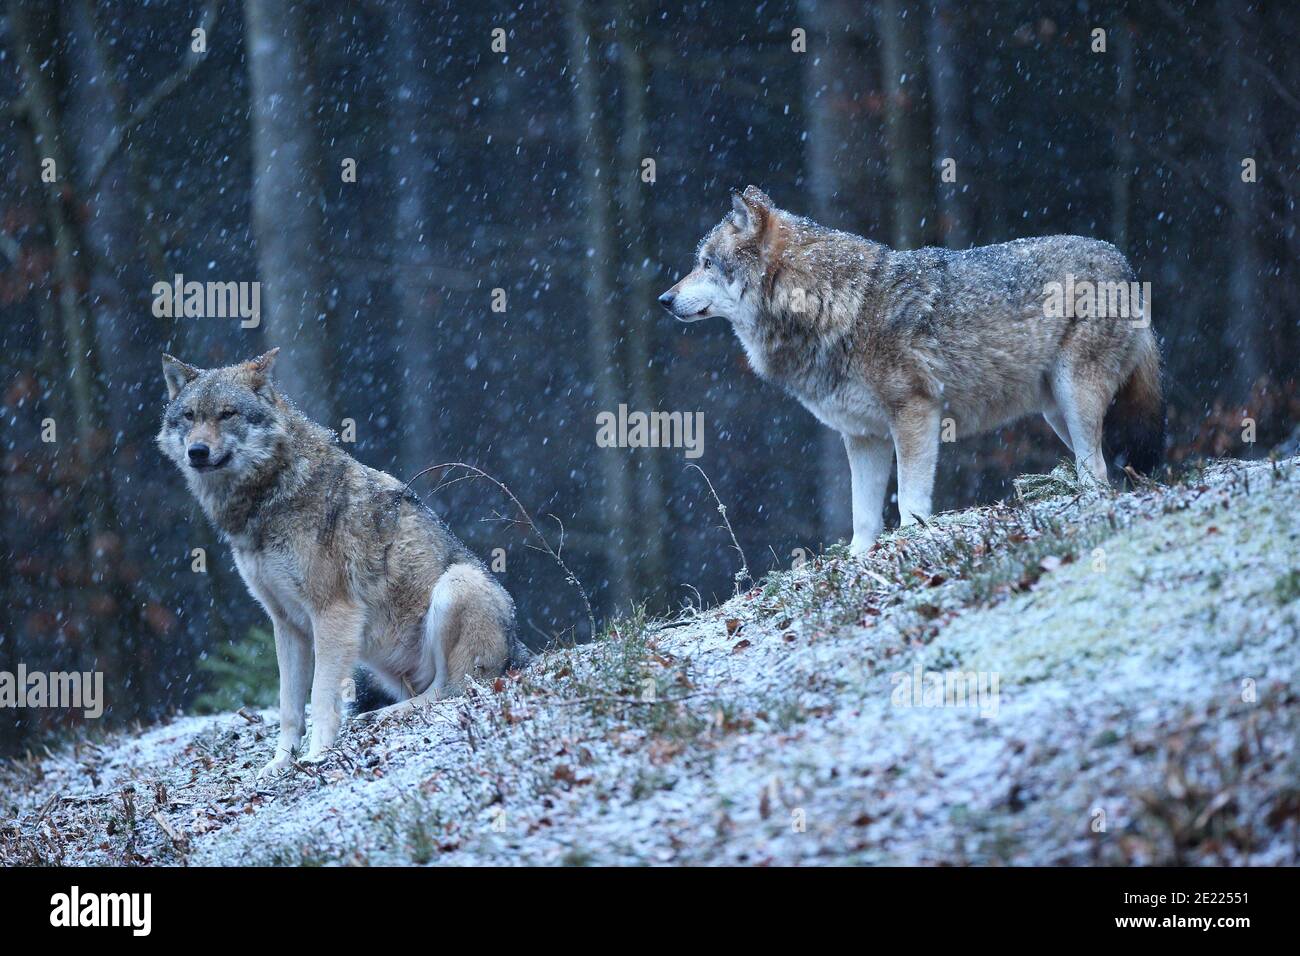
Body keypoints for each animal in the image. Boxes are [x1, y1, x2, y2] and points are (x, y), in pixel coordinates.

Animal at [157, 350, 518, 777]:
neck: (269, 494)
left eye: (227, 414)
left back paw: (385, 715)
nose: (196, 451)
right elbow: (290, 707)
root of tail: (518, 652)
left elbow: (321, 697)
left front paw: (317, 756)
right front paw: (280, 763)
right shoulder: (286, 623)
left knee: (452, 690)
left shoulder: (333, 613)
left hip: (456, 584)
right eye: (190, 416)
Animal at [659, 186, 1164, 556]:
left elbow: (910, 497)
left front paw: (913, 539)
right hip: (1056, 411)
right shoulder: (863, 437)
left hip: (1075, 398)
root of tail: (1125, 263)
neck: (831, 304)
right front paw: (858, 561)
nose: (664, 299)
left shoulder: (915, 414)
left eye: (706, 263)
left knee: (1097, 471)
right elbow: (863, 516)